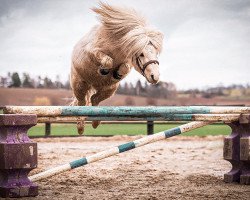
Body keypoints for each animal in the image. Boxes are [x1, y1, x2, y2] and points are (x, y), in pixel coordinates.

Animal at [70, 2, 164, 134]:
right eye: (141, 54)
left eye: (156, 53)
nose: (155, 76)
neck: (116, 44)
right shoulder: (92, 51)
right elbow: (107, 60)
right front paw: (104, 70)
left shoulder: (127, 60)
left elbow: (124, 67)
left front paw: (117, 74)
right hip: (79, 84)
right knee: (82, 103)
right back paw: (80, 127)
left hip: (109, 90)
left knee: (94, 99)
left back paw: (95, 122)